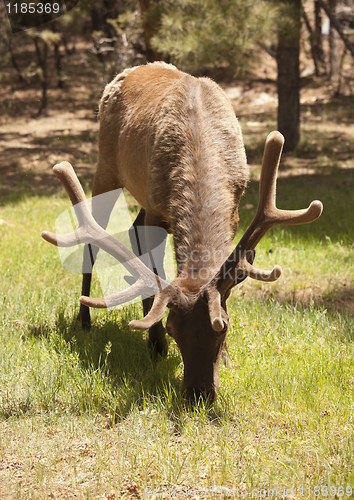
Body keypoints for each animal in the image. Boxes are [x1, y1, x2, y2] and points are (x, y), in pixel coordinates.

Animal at [40, 61, 322, 402]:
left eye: (222, 327)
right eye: (173, 328)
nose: (198, 393)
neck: (200, 144)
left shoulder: (234, 211)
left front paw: (226, 360)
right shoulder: (158, 207)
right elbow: (156, 270)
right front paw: (156, 343)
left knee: (132, 229)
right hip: (106, 167)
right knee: (92, 243)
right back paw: (84, 319)